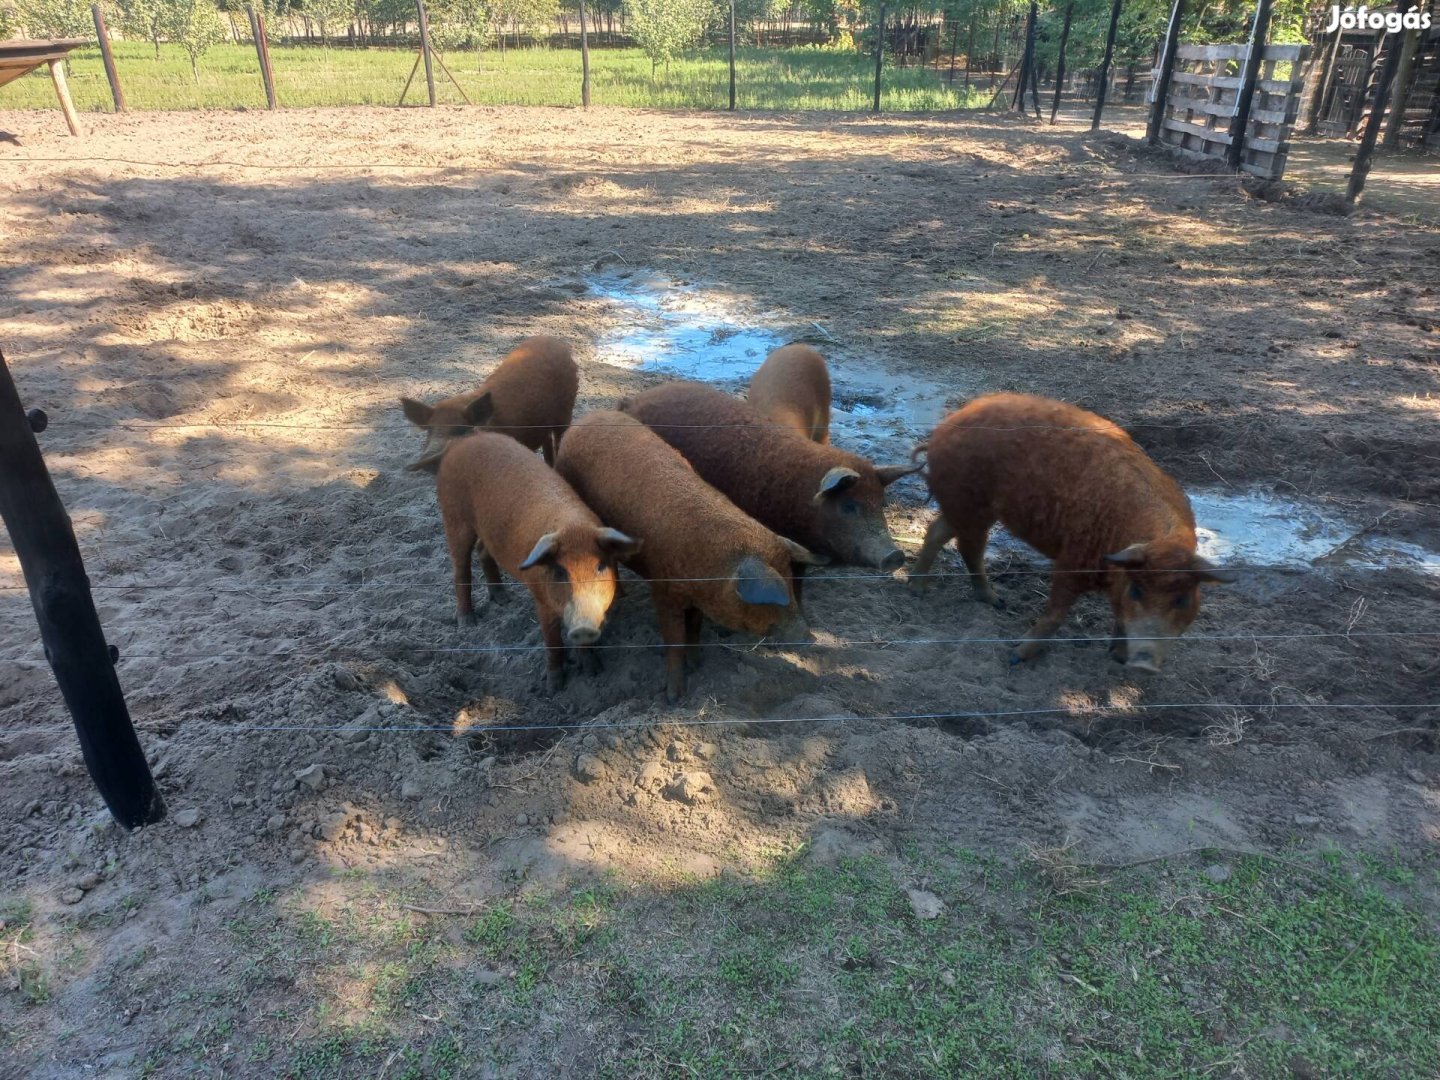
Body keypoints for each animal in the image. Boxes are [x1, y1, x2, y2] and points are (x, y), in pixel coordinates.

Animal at [400, 336, 578, 472]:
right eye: (429, 430)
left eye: (461, 429)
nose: (428, 456)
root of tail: (554, 341)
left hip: (566, 411)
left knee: (560, 438)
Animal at [434, 432, 639, 694]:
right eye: (560, 571)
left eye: (601, 566)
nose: (583, 626)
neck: (572, 526)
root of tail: (464, 440)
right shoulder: (540, 599)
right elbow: (552, 641)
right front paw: (553, 688)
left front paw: (593, 671)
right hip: (454, 518)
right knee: (460, 568)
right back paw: (467, 622)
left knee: (483, 552)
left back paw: (503, 599)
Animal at [555, 408, 829, 705]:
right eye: (775, 597)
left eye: (790, 578)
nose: (810, 638)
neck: (709, 569)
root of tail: (587, 417)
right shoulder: (663, 592)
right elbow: (674, 640)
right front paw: (674, 698)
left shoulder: (699, 599)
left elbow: (695, 628)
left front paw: (697, 664)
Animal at [915, 394, 1232, 673]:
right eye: (1137, 590)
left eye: (1182, 600)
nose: (1143, 664)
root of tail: (947, 424)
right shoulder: (1072, 559)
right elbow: (1055, 614)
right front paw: (1015, 656)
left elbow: (1119, 617)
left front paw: (1117, 657)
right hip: (970, 503)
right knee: (968, 546)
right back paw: (978, 599)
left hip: (967, 507)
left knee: (939, 532)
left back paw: (932, 590)